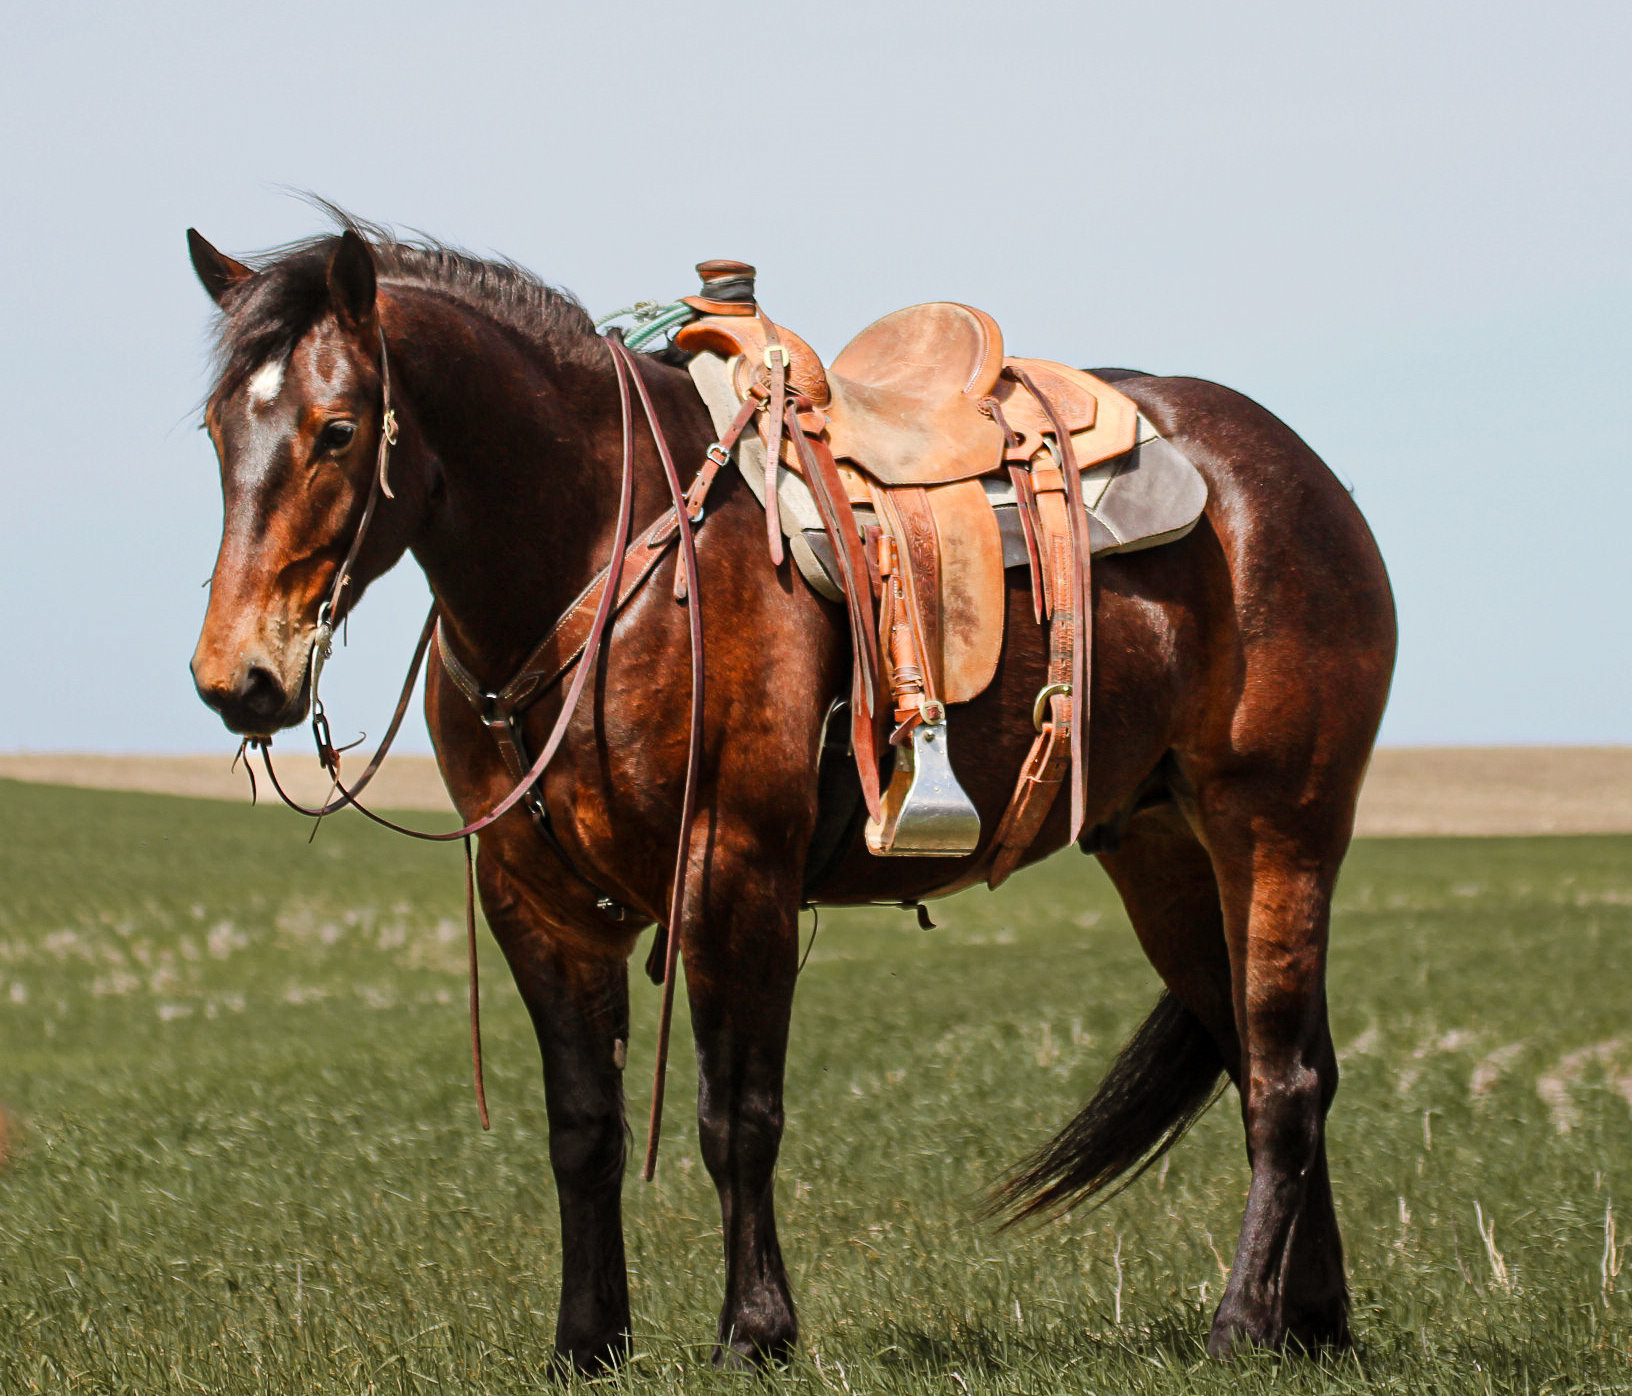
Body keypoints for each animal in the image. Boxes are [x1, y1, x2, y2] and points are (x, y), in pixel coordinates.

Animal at [187, 223, 1390, 1371]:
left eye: (339, 430)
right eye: (215, 431)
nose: (238, 679)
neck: (596, 547)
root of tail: (1297, 476)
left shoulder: (734, 871)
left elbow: (738, 1118)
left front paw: (755, 1330)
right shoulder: (539, 900)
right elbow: (583, 1128)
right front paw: (587, 1340)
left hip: (1277, 831)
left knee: (1286, 1077)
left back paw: (1244, 1323)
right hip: (1164, 853)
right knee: (1263, 1059)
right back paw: (1314, 1320)